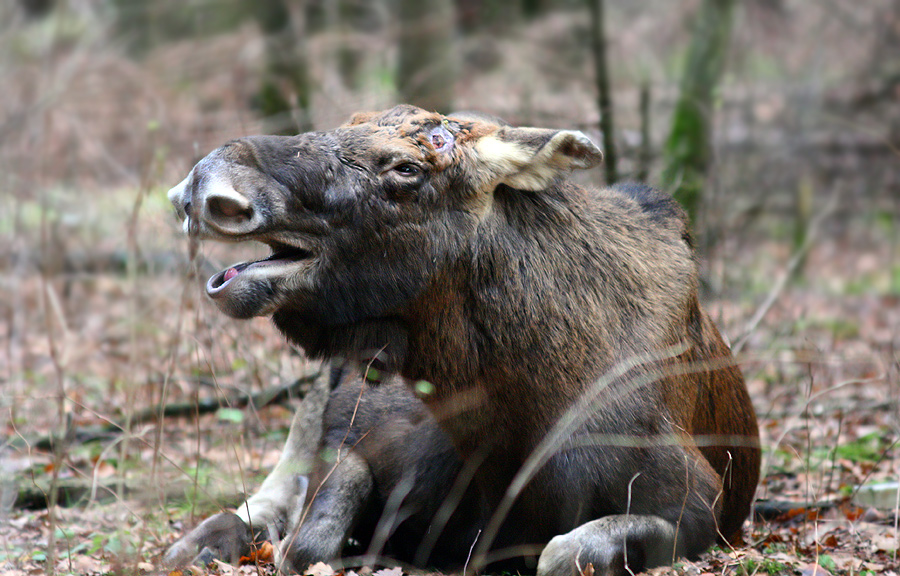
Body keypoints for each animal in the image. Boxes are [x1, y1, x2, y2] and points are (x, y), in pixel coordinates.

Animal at [163, 106, 760, 576]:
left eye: (406, 167)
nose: (203, 182)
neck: (515, 413)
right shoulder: (364, 437)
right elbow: (308, 538)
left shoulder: (701, 509)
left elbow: (560, 553)